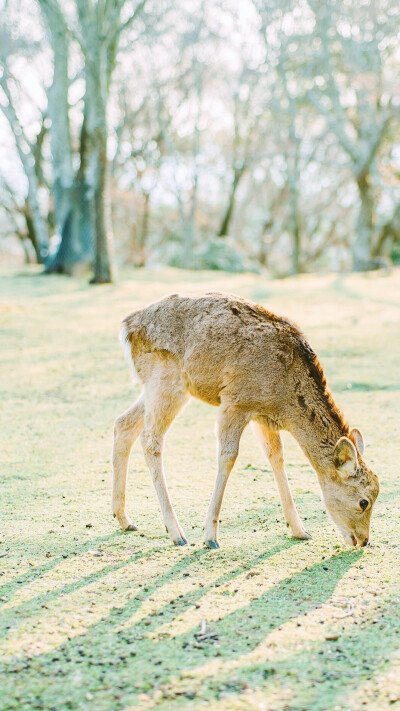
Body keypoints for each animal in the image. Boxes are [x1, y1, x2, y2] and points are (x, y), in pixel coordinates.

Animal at [111, 292, 380, 548]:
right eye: (363, 501)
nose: (364, 540)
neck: (284, 402)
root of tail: (126, 327)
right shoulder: (235, 401)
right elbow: (228, 456)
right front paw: (210, 537)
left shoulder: (262, 416)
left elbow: (276, 457)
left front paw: (299, 530)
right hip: (167, 380)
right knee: (150, 439)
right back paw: (176, 533)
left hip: (158, 387)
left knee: (123, 424)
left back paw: (124, 519)